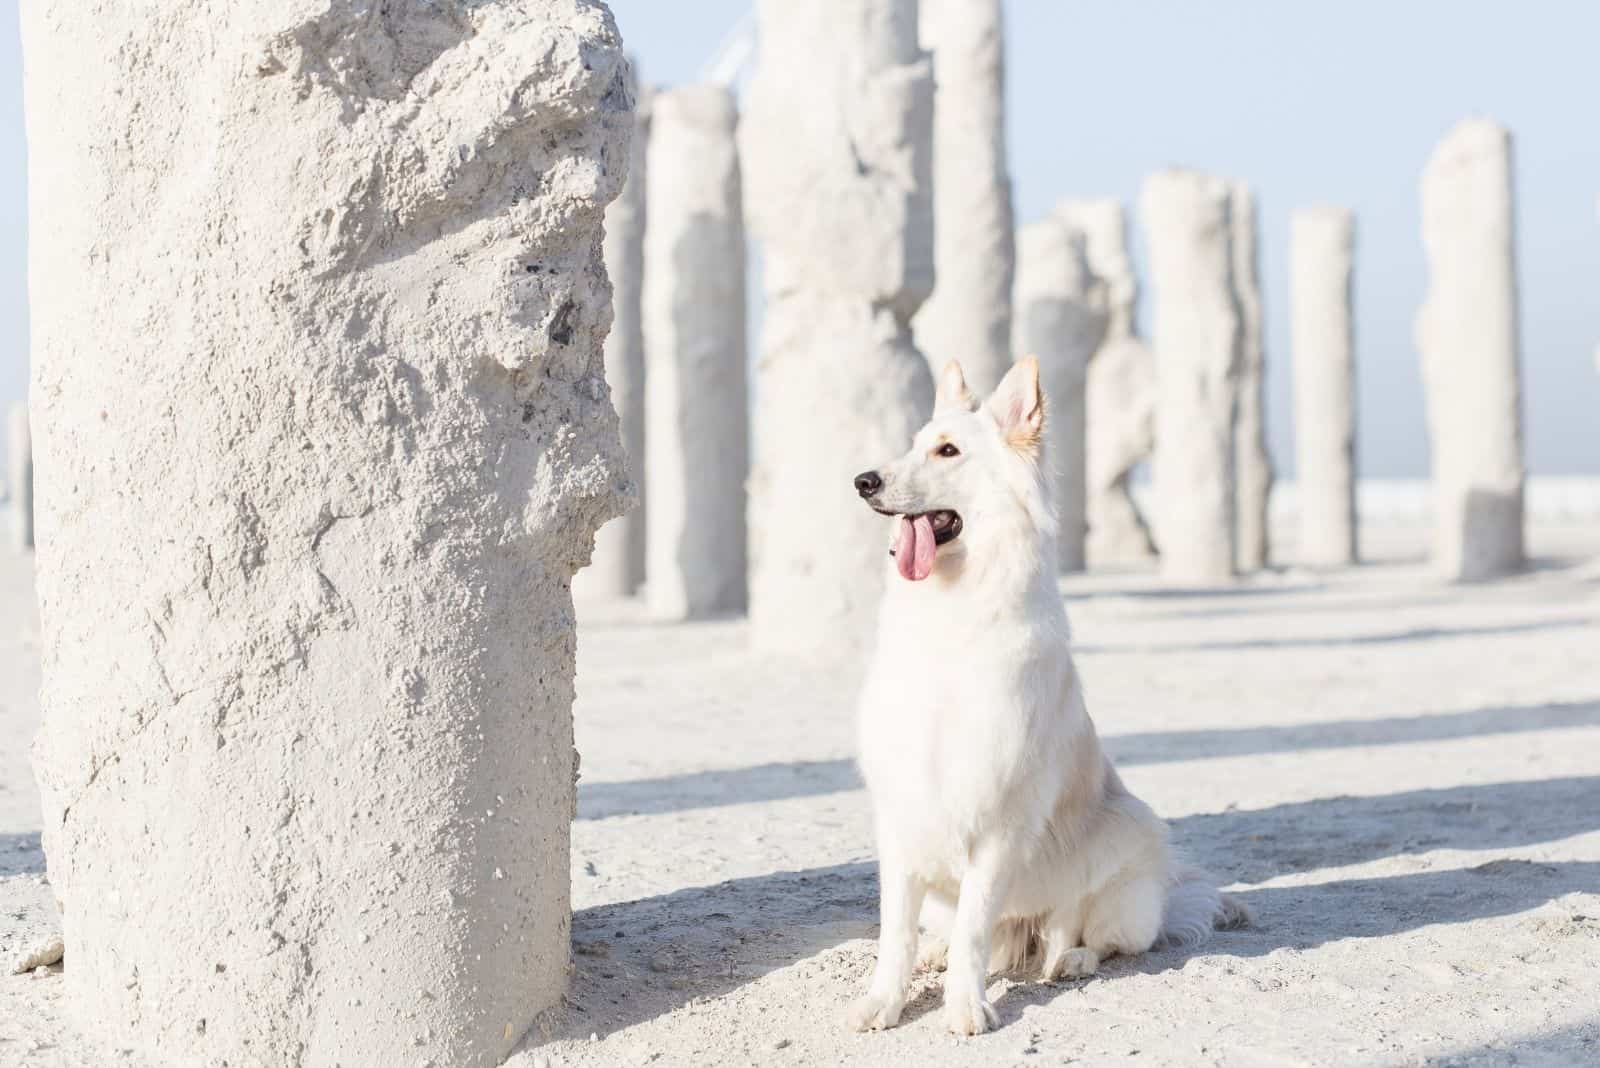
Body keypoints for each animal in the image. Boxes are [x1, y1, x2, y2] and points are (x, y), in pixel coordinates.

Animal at [844, 358, 1241, 1036]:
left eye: (947, 451)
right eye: (912, 445)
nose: (864, 481)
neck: (952, 618)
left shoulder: (999, 823)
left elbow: (976, 929)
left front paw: (966, 1006)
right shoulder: (903, 813)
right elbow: (896, 930)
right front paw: (885, 1000)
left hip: (1124, 857)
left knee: (1085, 933)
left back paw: (1071, 959)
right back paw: (938, 952)